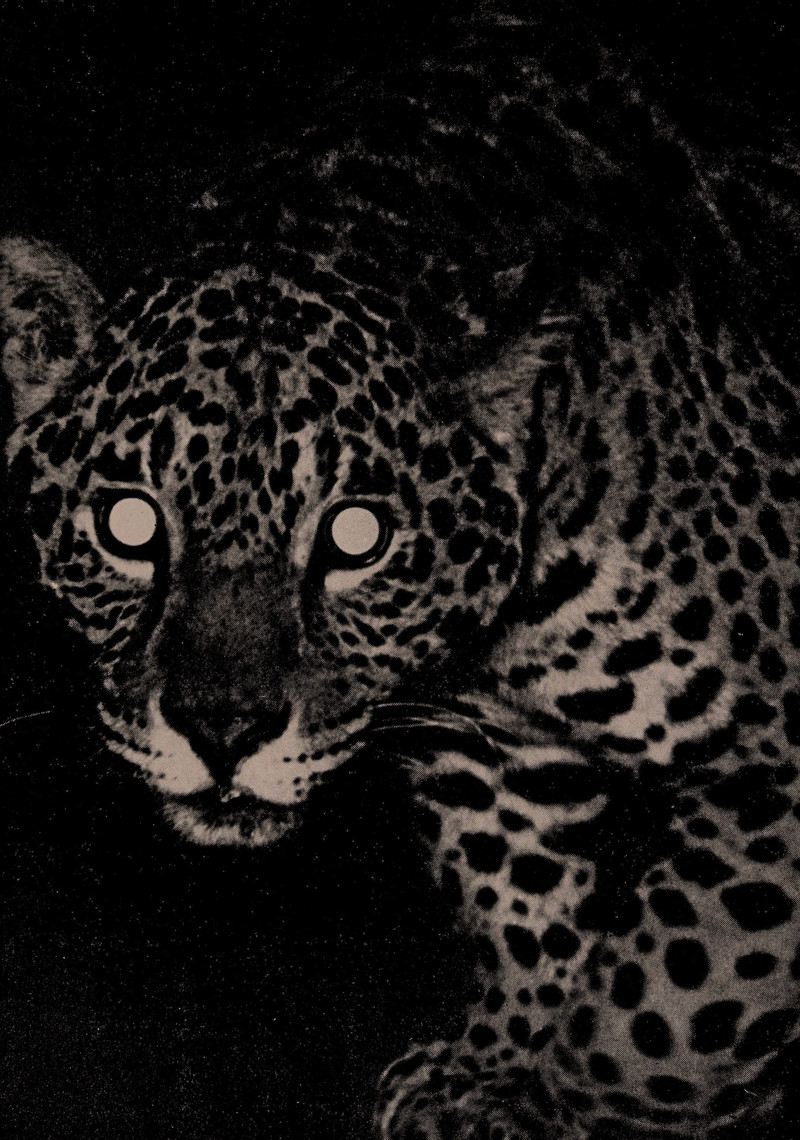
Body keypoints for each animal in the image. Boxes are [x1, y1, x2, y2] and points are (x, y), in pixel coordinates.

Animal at [1, 11, 799, 1140]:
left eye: (355, 537)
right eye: (126, 522)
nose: (221, 732)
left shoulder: (773, 756)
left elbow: (670, 988)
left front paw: (569, 1102)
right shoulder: (484, 748)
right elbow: (523, 905)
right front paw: (490, 1070)